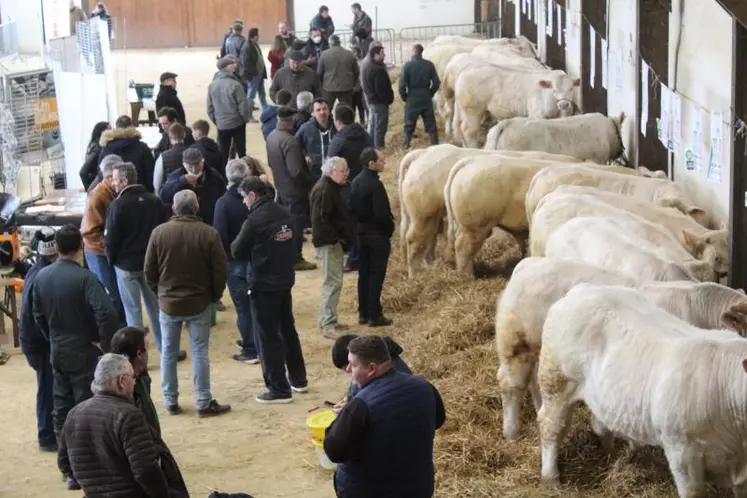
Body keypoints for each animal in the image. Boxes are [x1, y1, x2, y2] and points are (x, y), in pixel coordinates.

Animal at [452, 67, 580, 148]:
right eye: (554, 90)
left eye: (571, 88)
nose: (563, 104)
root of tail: (465, 71)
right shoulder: (536, 114)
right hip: (473, 110)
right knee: (469, 130)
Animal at [540, 284, 747, 494]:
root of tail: (582, 289)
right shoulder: (682, 453)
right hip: (555, 382)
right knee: (550, 425)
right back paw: (550, 477)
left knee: (598, 423)